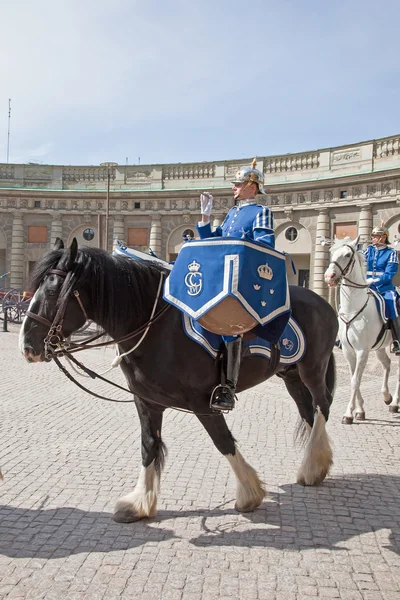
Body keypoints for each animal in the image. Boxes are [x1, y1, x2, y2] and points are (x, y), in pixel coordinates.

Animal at [19, 239, 338, 520]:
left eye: (52, 292)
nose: (27, 346)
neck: (155, 328)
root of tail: (322, 301)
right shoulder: (146, 401)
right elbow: (149, 445)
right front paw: (140, 503)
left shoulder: (204, 403)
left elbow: (223, 441)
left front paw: (249, 494)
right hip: (291, 376)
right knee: (309, 414)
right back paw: (315, 466)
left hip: (312, 369)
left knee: (322, 406)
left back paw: (313, 468)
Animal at [324, 237, 400, 424]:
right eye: (332, 253)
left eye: (347, 254)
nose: (329, 277)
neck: (354, 307)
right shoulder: (348, 351)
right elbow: (355, 379)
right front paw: (360, 410)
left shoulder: (362, 351)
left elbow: (355, 381)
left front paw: (348, 414)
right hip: (380, 348)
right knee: (387, 364)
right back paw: (386, 396)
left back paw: (394, 402)